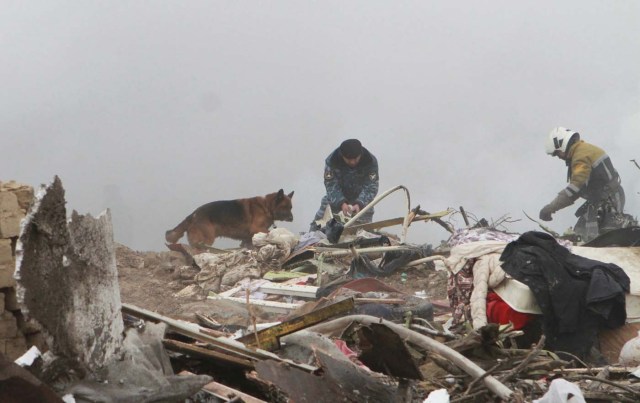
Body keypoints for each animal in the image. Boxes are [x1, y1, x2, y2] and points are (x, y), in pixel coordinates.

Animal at [165, 189, 296, 251]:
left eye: (291, 207)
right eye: (285, 207)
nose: (291, 218)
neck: (266, 206)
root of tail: (193, 214)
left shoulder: (247, 239)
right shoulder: (257, 228)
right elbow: (269, 233)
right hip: (207, 239)